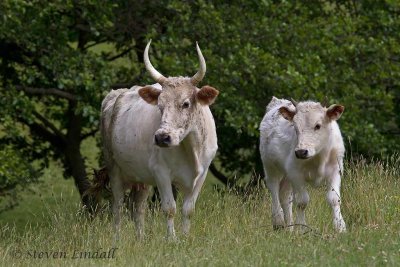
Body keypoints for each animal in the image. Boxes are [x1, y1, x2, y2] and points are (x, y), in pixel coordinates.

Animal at [100, 40, 219, 239]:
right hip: (114, 167)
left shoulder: (202, 173)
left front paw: (185, 237)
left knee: (138, 207)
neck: (191, 148)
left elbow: (188, 210)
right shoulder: (161, 172)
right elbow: (169, 209)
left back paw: (141, 238)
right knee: (117, 205)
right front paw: (172, 239)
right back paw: (117, 238)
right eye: (160, 105)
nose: (162, 137)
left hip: (141, 177)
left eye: (186, 103)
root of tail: (116, 93)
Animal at [260, 96, 346, 232]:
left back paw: (289, 228)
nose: (301, 152)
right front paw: (302, 229)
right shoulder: (296, 173)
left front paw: (340, 227)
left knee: (285, 197)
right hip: (270, 166)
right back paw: (278, 221)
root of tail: (277, 101)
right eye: (295, 128)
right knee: (274, 188)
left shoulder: (335, 169)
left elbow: (334, 198)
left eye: (318, 126)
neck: (318, 156)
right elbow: (302, 201)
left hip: (286, 175)